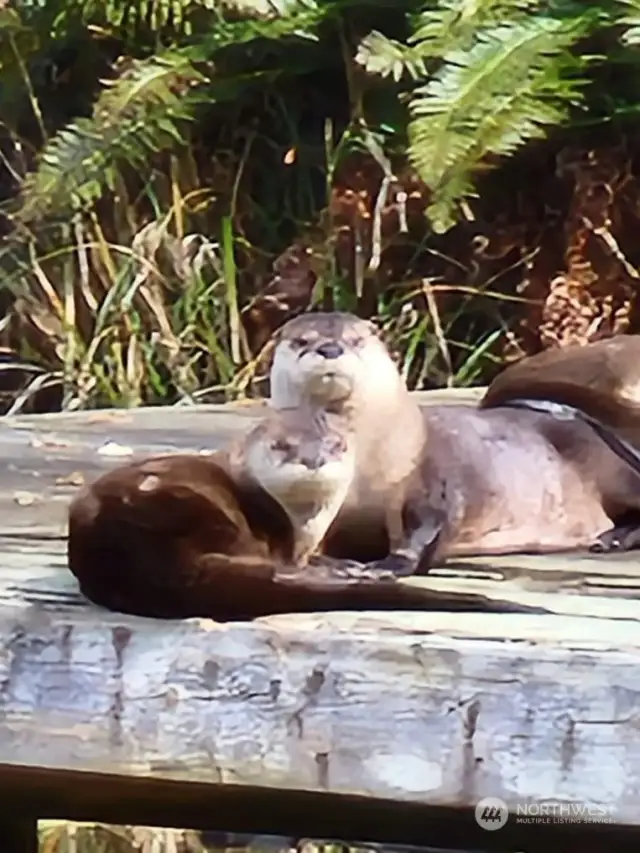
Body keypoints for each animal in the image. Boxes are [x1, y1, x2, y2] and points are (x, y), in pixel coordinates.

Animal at [270, 310, 640, 564]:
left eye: (356, 341)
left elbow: (429, 523)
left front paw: (387, 566)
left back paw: (616, 537)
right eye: (301, 342)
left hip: (611, 470)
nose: (330, 349)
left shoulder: (427, 480)